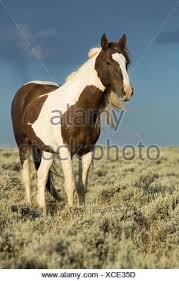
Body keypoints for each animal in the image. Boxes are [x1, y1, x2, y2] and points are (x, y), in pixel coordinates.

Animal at [10, 33, 133, 210]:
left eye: (126, 63)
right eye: (108, 62)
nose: (127, 92)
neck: (78, 107)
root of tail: (24, 90)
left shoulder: (87, 150)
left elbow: (82, 186)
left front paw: (80, 210)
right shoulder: (65, 150)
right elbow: (70, 185)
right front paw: (71, 211)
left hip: (46, 150)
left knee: (41, 176)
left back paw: (43, 210)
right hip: (23, 144)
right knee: (27, 176)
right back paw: (28, 205)